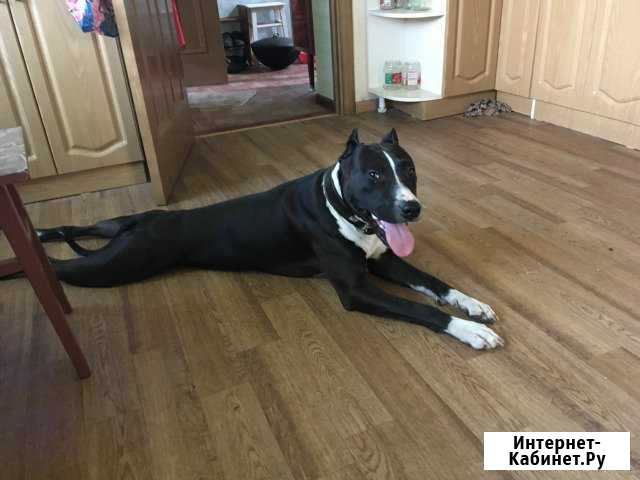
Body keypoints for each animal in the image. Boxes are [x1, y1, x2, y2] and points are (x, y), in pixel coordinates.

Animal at [37, 129, 503, 349]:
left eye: (408, 169)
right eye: (374, 175)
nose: (411, 208)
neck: (342, 206)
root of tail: (145, 224)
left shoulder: (383, 259)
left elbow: (432, 282)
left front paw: (471, 303)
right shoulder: (356, 289)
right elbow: (420, 307)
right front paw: (467, 329)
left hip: (121, 227)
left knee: (86, 227)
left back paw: (45, 230)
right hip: (120, 262)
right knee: (62, 267)